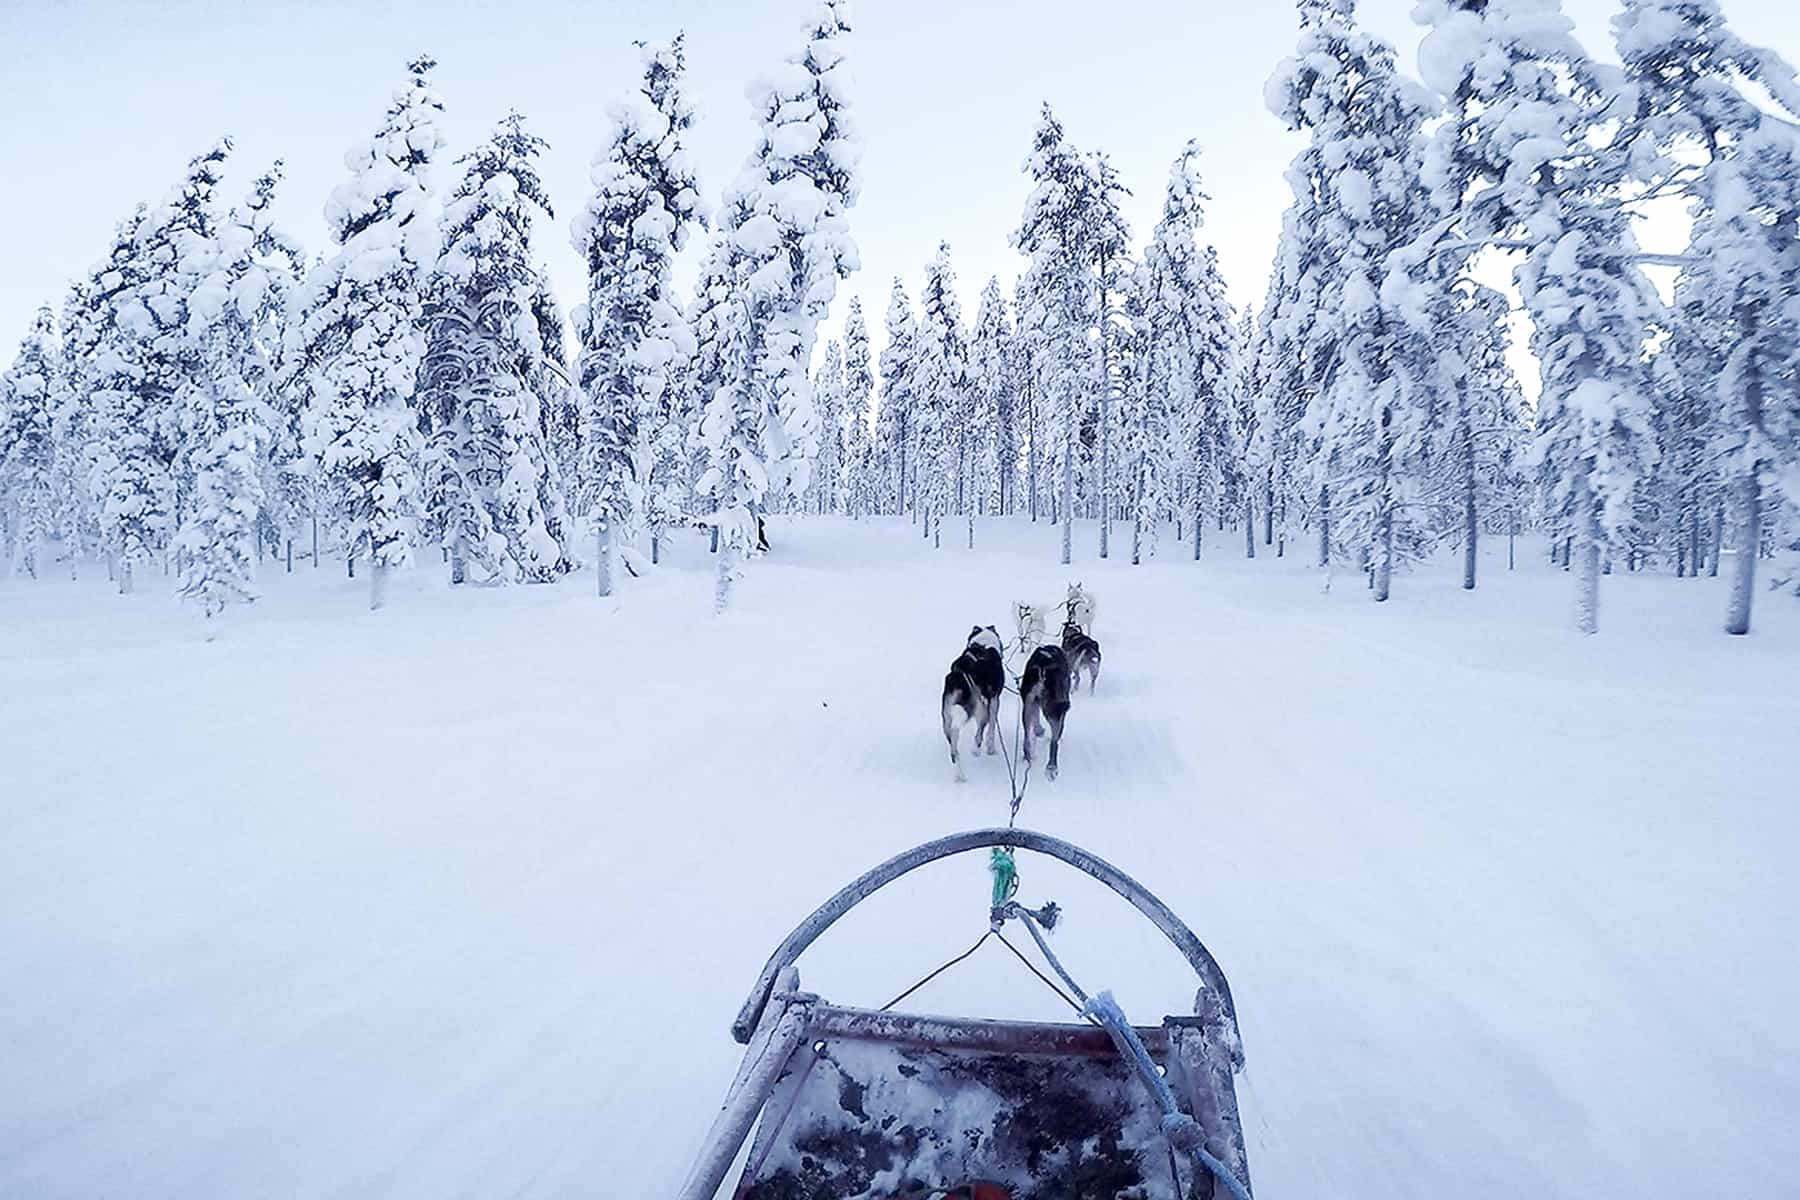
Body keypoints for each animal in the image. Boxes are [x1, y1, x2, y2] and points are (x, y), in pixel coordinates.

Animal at [950, 626, 1008, 784]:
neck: (983, 645)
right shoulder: (994, 702)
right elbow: (991, 729)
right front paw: (990, 748)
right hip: (983, 707)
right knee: (980, 733)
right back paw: (976, 750)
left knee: (954, 751)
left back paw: (959, 775)